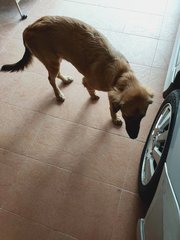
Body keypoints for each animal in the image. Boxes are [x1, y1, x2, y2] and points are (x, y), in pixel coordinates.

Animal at [1, 15, 153, 139]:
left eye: (142, 116)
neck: (120, 73)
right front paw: (99, 103)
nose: (134, 137)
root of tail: (29, 27)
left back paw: (65, 80)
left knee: (55, 75)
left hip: (56, 59)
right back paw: (58, 95)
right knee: (51, 79)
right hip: (52, 61)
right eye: (127, 115)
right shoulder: (89, 81)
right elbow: (96, 94)